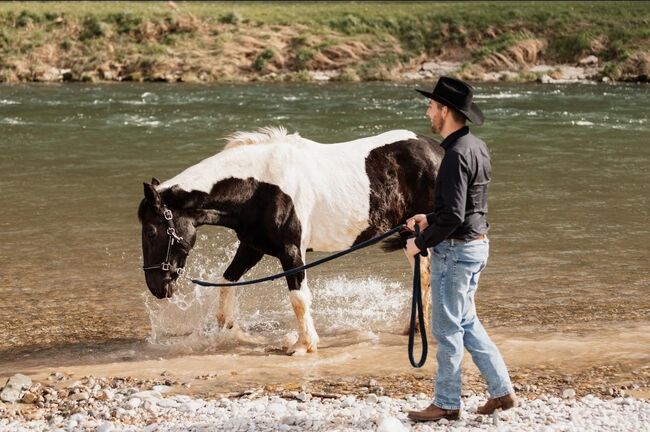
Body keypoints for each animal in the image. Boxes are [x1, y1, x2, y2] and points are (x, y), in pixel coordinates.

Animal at [136, 126, 440, 356]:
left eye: (151, 231)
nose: (156, 287)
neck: (259, 187)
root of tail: (437, 150)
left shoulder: (291, 251)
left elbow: (298, 299)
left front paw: (304, 345)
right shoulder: (252, 248)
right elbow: (227, 282)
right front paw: (230, 332)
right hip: (409, 232)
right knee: (423, 272)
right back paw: (413, 327)